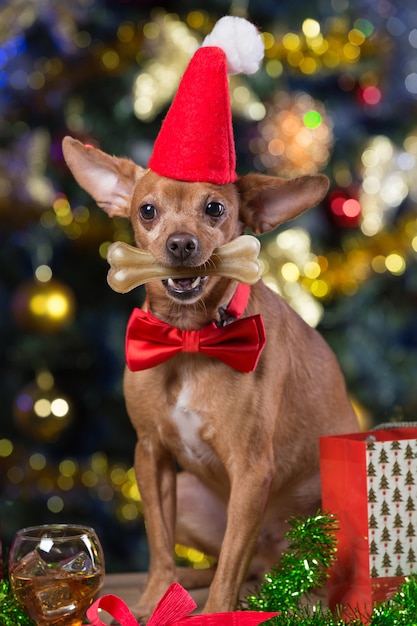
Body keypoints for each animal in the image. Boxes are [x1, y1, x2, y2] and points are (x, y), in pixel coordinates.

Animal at [61, 135, 358, 620]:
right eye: (147, 210)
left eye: (215, 208)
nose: (181, 244)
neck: (189, 339)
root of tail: (272, 562)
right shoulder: (151, 455)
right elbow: (160, 545)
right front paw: (155, 599)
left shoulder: (252, 469)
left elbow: (230, 566)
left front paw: (217, 612)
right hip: (188, 493)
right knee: (225, 560)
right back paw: (189, 578)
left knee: (252, 562)